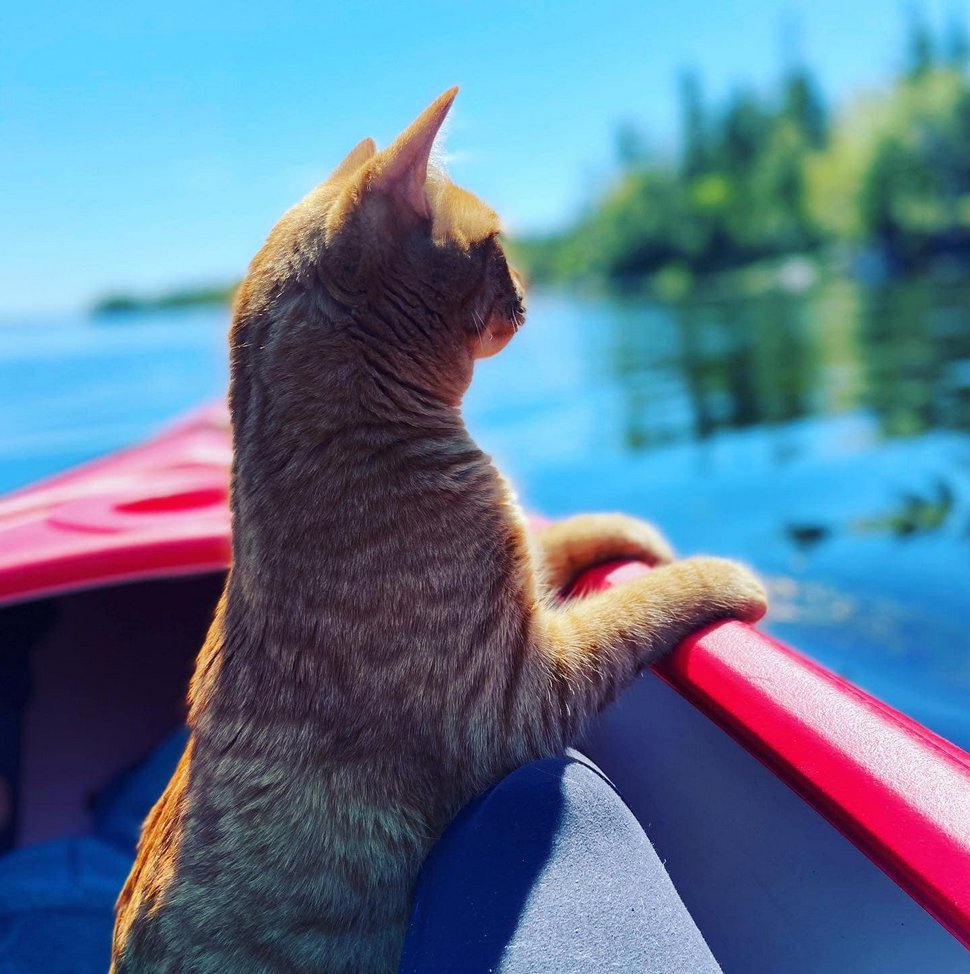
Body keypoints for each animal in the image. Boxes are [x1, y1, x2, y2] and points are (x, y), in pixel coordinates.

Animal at [109, 87, 768, 972]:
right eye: (493, 248)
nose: (527, 290)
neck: (351, 443)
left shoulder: (516, 579)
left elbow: (555, 543)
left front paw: (631, 531)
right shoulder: (521, 694)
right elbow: (634, 610)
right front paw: (718, 573)